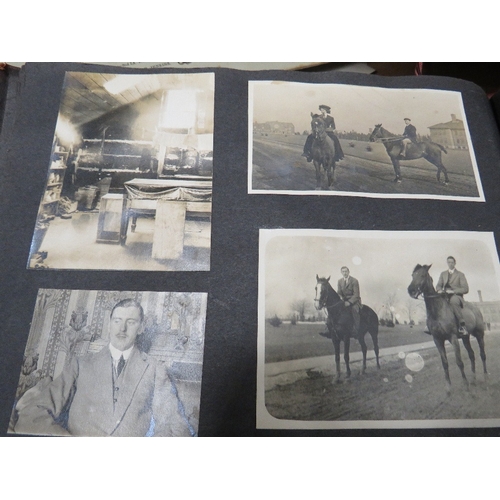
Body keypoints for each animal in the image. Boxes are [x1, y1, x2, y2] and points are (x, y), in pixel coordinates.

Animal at [408, 264, 486, 392]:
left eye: (423, 275)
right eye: (412, 275)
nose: (411, 290)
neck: (437, 311)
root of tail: (476, 308)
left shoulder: (453, 338)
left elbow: (459, 362)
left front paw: (465, 385)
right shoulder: (438, 340)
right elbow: (444, 363)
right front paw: (448, 389)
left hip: (479, 334)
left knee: (482, 354)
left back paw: (485, 376)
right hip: (466, 338)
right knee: (472, 355)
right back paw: (473, 379)